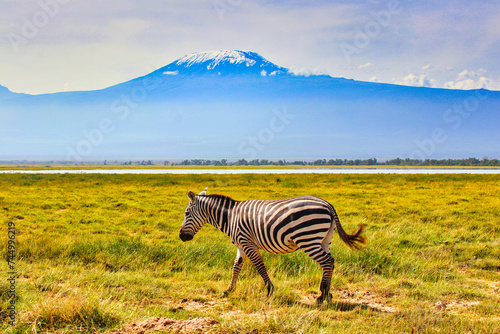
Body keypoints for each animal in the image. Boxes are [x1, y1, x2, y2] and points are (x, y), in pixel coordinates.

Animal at [178, 188, 366, 302]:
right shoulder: (240, 245)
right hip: (325, 239)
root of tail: (328, 204)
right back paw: (327, 293)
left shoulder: (247, 243)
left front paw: (270, 290)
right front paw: (229, 290)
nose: (181, 236)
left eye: (186, 213)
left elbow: (260, 266)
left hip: (308, 239)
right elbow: (236, 267)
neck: (230, 217)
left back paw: (323, 294)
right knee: (331, 262)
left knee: (327, 262)